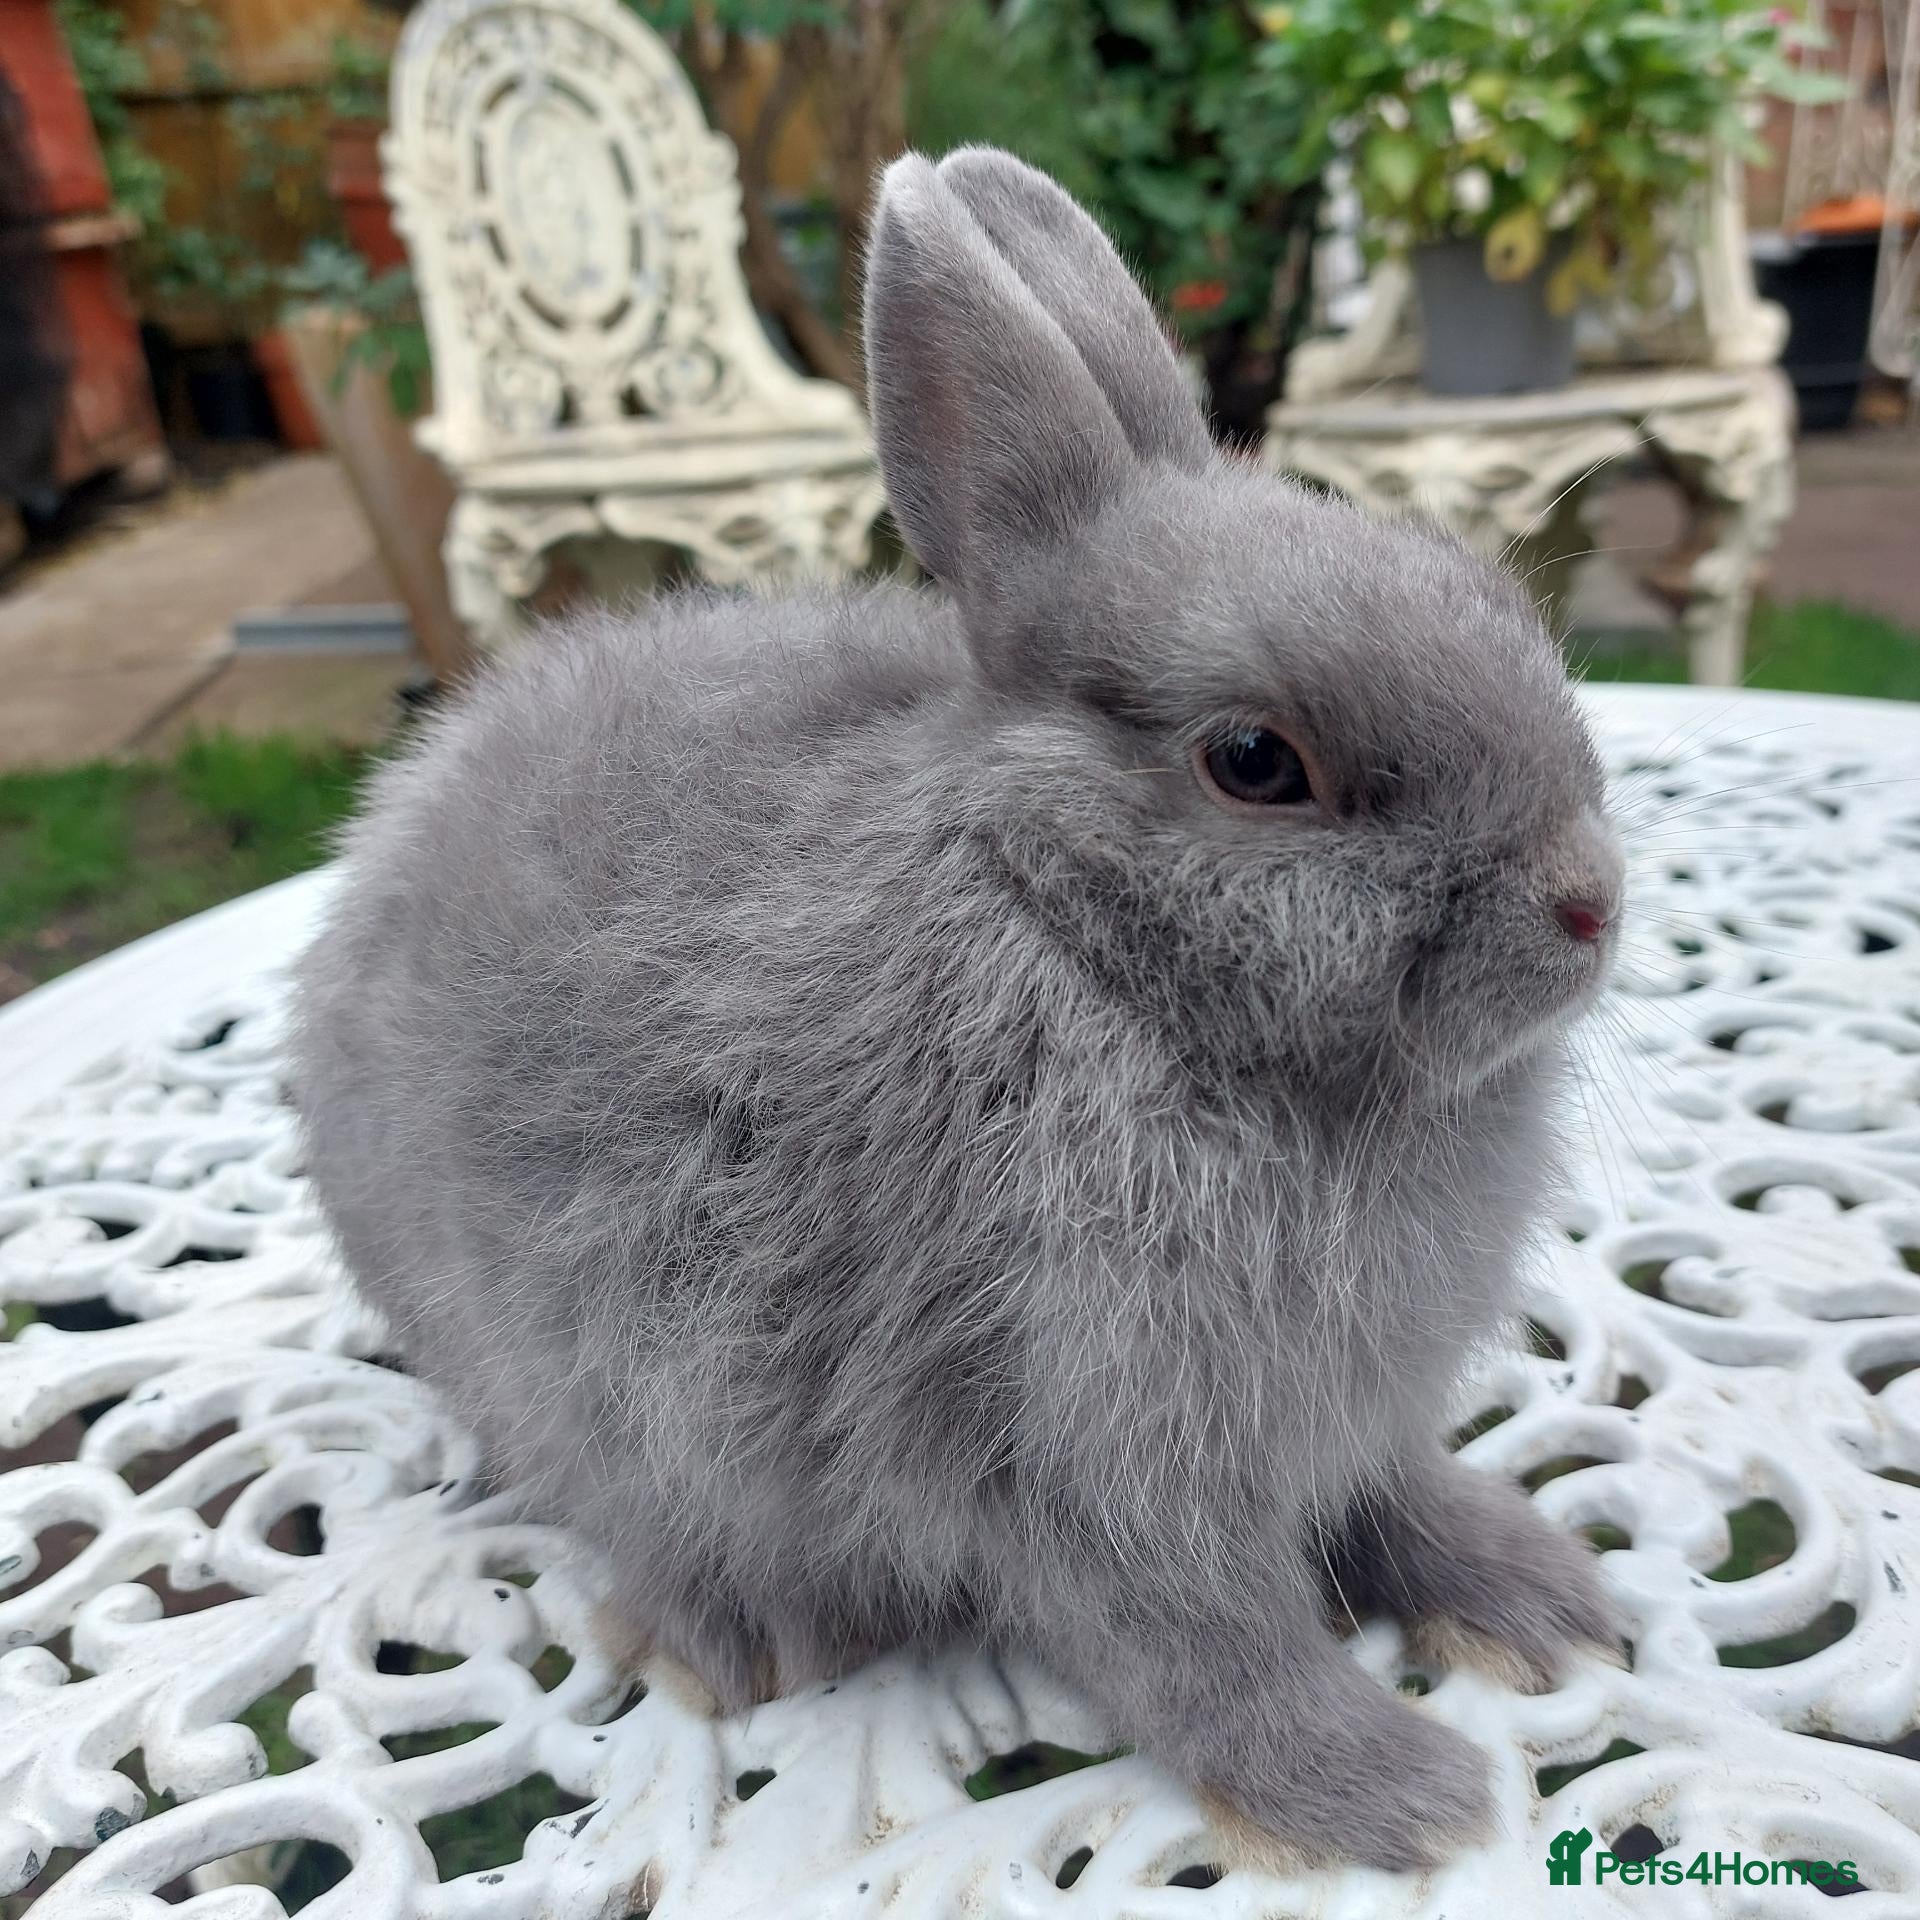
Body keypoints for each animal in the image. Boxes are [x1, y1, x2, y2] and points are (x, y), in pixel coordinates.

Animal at [290, 145, 1624, 1873]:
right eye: (1257, 761)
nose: (1589, 900)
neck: (1086, 944)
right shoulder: (1068, 1446)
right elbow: (1201, 1644)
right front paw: (1393, 1794)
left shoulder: (1339, 1420)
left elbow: (1393, 1503)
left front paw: (1541, 1602)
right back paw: (743, 1639)